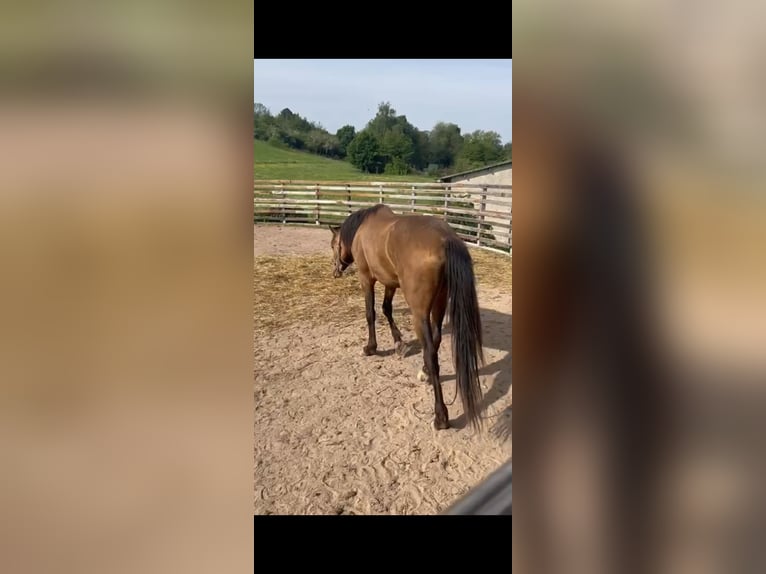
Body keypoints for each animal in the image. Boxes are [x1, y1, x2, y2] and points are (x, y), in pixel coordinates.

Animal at [329, 204, 485, 431]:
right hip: (439, 306)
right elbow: (386, 309)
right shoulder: (390, 282)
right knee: (436, 339)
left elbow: (371, 313)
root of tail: (446, 238)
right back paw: (424, 372)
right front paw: (399, 343)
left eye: (334, 245)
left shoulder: (366, 278)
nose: (336, 271)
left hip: (420, 314)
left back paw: (440, 416)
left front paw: (371, 347)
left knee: (432, 354)